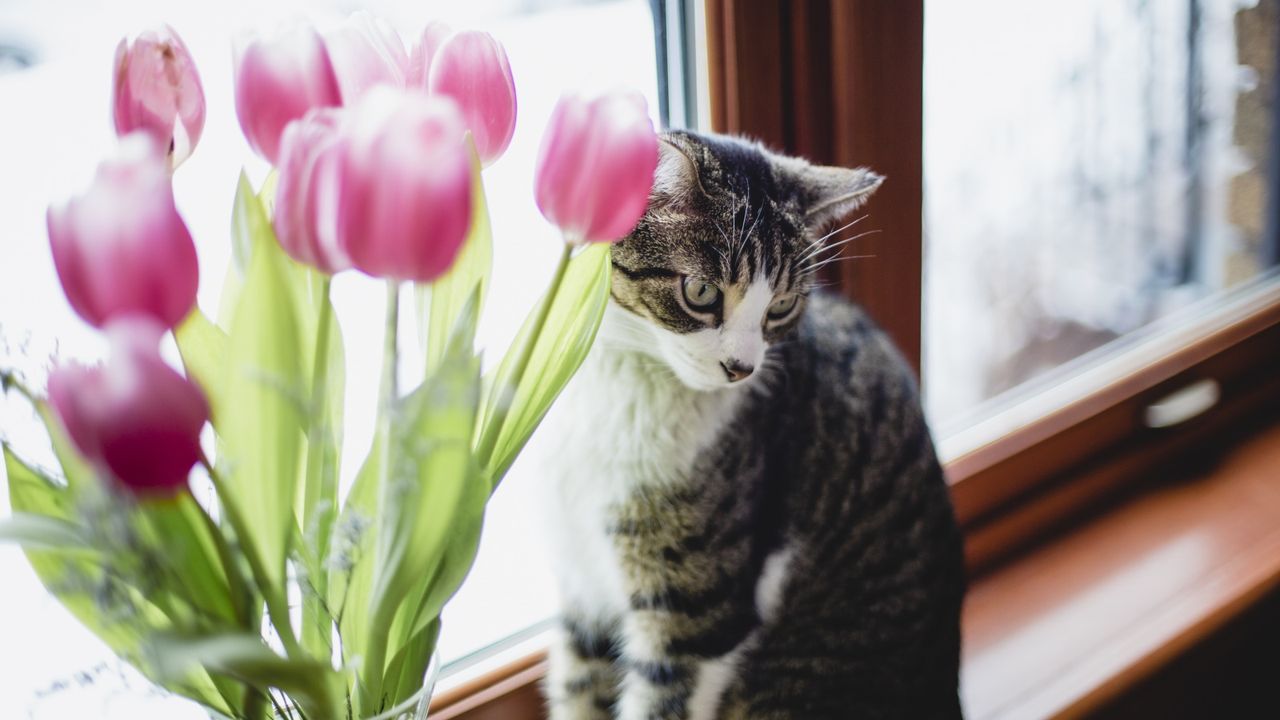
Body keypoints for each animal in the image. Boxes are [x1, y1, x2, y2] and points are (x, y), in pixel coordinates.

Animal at [535, 128, 962, 717]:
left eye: (780, 307)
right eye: (701, 292)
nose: (742, 368)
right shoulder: (582, 589)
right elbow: (579, 686)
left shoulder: (694, 612)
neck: (622, 379)